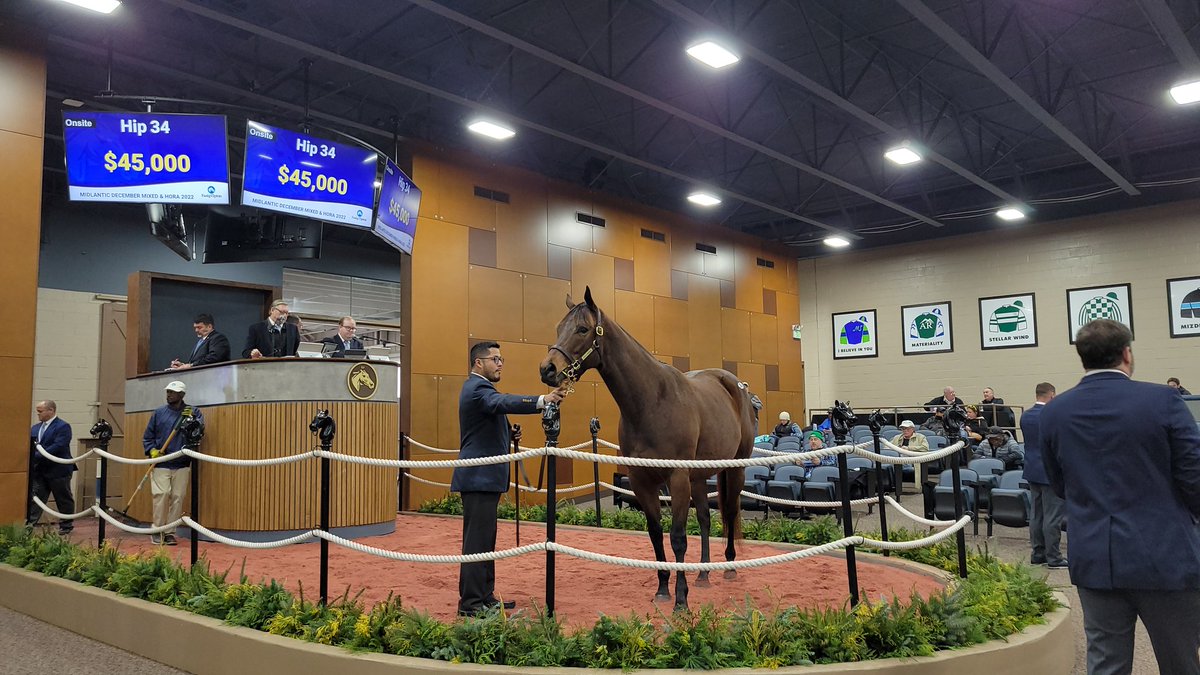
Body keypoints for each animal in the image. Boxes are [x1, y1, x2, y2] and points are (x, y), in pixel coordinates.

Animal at [539, 287, 760, 611]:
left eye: (582, 329)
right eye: (558, 327)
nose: (548, 369)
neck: (652, 401)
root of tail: (737, 384)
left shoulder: (676, 479)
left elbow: (678, 536)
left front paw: (681, 599)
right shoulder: (642, 481)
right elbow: (656, 533)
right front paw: (663, 588)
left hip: (735, 469)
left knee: (729, 512)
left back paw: (729, 567)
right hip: (698, 476)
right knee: (705, 518)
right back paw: (703, 573)